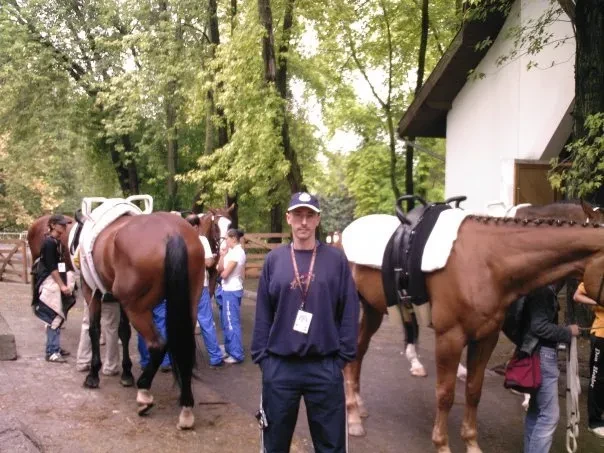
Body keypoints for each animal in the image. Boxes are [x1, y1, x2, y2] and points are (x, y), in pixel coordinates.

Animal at [73, 211, 205, 429]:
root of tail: (172, 232)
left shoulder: (91, 291)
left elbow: (94, 330)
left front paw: (93, 374)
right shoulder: (118, 301)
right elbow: (123, 332)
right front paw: (126, 373)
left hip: (137, 308)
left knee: (158, 345)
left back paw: (144, 393)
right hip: (189, 303)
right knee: (184, 346)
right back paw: (186, 407)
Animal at [341, 199, 604, 445]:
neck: (490, 261)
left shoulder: (487, 335)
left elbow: (475, 390)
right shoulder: (451, 335)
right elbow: (446, 393)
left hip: (373, 310)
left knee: (360, 352)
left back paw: (360, 405)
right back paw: (353, 417)